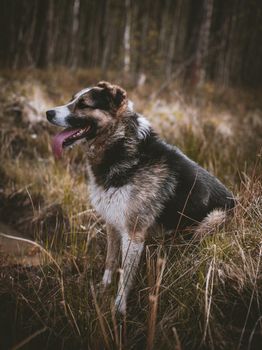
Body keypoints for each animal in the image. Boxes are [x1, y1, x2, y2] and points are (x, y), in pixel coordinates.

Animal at [46, 82, 234, 314]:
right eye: (72, 99)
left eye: (83, 104)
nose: (48, 113)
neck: (121, 144)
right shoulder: (112, 222)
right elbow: (110, 261)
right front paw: (103, 288)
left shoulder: (133, 234)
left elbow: (125, 276)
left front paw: (119, 308)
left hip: (212, 220)